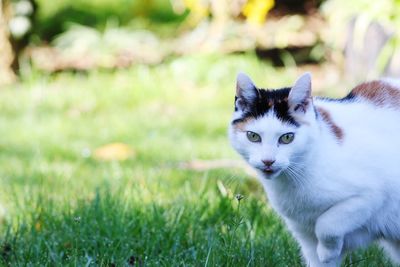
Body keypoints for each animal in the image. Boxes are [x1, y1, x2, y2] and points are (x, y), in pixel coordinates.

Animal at [230, 71, 400, 267]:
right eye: (253, 136)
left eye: (287, 137)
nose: (268, 161)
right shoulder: (304, 234)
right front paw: (328, 254)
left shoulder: (372, 194)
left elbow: (327, 224)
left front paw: (328, 250)